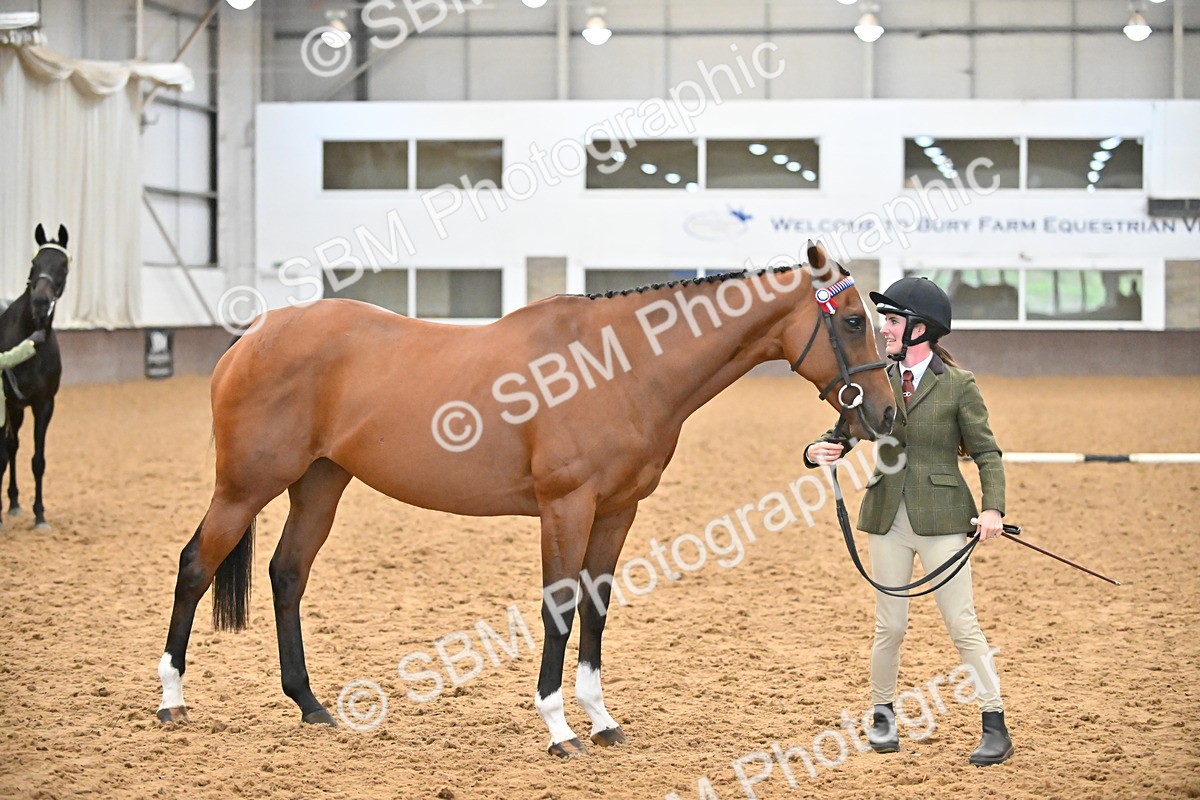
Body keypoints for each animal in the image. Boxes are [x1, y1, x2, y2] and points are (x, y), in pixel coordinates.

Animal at [155, 241, 896, 757]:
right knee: (195, 566)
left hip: (320, 483)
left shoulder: (617, 511)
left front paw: (602, 720)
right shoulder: (566, 506)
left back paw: (310, 705)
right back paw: (171, 701)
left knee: (287, 574)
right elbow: (560, 609)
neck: (620, 367)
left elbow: (596, 609)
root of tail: (256, 333)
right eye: (852, 320)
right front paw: (558, 728)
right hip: (244, 487)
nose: (886, 415)